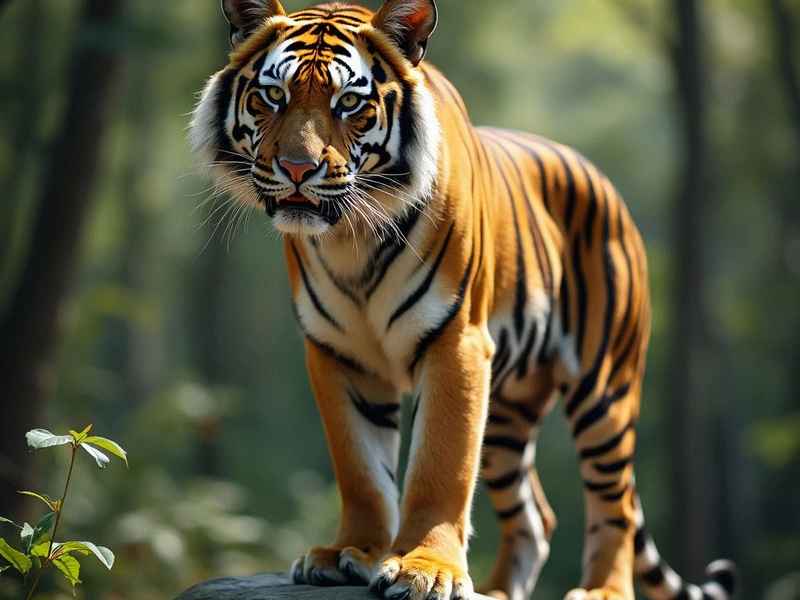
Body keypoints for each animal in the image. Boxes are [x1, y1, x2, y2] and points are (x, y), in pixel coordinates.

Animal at [190, 1, 737, 599]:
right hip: (505, 416)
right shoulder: (338, 353)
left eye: (349, 103)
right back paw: (497, 591)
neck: (350, 240)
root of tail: (604, 183)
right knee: (536, 517)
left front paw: (425, 569)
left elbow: (440, 465)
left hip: (604, 388)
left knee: (612, 502)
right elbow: (360, 469)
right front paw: (349, 552)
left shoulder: (457, 344)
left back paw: (602, 591)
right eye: (273, 95)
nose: (295, 169)